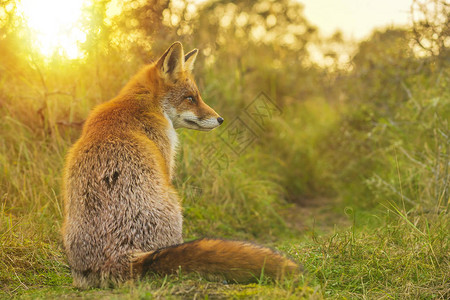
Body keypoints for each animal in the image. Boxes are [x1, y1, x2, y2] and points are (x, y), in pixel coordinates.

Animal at [60, 41, 298, 288]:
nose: (220, 119)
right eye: (190, 98)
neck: (142, 105)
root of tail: (119, 258)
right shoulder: (165, 162)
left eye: (197, 97)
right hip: (174, 201)